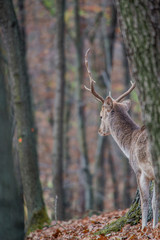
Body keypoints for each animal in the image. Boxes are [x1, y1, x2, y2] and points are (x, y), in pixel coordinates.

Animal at [84, 48, 158, 229]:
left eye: (100, 115)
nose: (100, 131)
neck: (129, 144)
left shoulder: (138, 169)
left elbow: (146, 202)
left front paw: (145, 228)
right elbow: (154, 202)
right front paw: (153, 226)